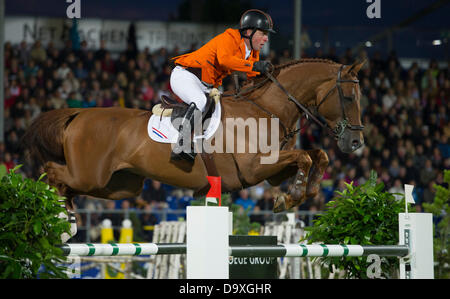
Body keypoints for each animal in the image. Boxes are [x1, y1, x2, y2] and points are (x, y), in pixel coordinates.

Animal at [22, 59, 366, 218]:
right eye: (349, 97)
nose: (355, 144)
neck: (267, 109)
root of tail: (79, 113)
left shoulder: (274, 172)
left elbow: (316, 155)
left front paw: (302, 193)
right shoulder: (254, 169)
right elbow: (306, 156)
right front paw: (292, 196)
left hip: (120, 186)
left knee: (69, 183)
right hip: (90, 175)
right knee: (54, 173)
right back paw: (55, 211)